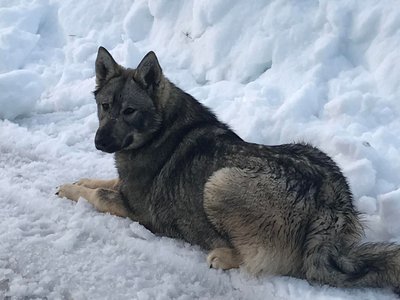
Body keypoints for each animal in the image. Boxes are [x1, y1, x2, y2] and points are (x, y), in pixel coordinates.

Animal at [57, 47, 400, 292]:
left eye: (129, 111)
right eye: (105, 107)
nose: (99, 141)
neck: (159, 131)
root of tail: (330, 204)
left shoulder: (136, 211)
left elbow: (97, 194)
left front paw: (73, 189)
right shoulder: (123, 186)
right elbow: (101, 180)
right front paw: (77, 180)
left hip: (220, 182)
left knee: (255, 259)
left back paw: (221, 255)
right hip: (306, 150)